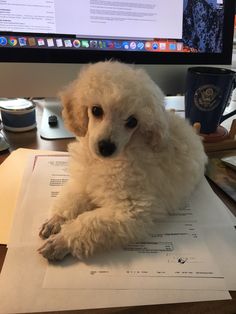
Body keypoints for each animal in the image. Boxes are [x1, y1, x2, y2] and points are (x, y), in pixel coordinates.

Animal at [38, 60, 206, 262]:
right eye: (96, 110)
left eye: (132, 122)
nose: (106, 147)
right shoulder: (84, 181)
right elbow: (72, 199)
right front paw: (56, 220)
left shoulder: (130, 209)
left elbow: (89, 223)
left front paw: (61, 241)